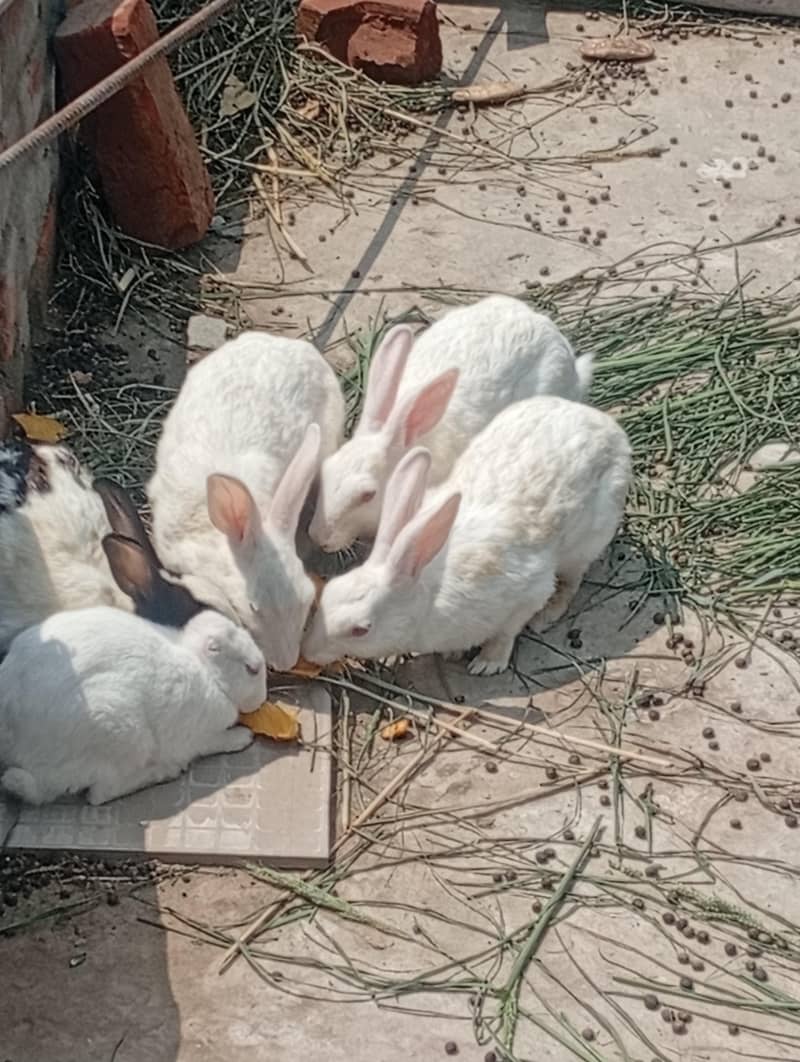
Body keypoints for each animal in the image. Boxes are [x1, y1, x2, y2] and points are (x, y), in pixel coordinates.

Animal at [0, 606, 266, 806]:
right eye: (252, 669)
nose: (262, 698)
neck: (207, 671)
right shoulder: (197, 736)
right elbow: (218, 741)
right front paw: (244, 736)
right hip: (122, 732)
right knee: (100, 793)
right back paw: (166, 771)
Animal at [303, 396, 631, 676]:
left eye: (360, 629)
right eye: (327, 594)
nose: (308, 653)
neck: (426, 597)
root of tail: (608, 427)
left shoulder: (527, 594)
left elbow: (506, 632)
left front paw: (487, 663)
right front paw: (453, 654)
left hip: (585, 544)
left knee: (572, 581)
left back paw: (547, 616)